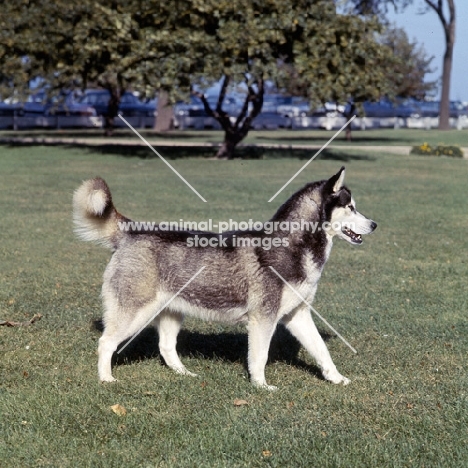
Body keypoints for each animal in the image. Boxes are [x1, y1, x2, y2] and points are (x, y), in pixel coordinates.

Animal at [73, 166, 376, 390]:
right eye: (350, 207)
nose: (374, 224)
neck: (293, 245)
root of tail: (132, 231)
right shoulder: (263, 318)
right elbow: (260, 356)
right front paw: (261, 386)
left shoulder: (298, 314)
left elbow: (322, 350)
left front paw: (336, 378)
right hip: (134, 312)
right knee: (106, 342)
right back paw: (106, 378)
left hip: (171, 311)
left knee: (166, 347)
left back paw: (185, 374)